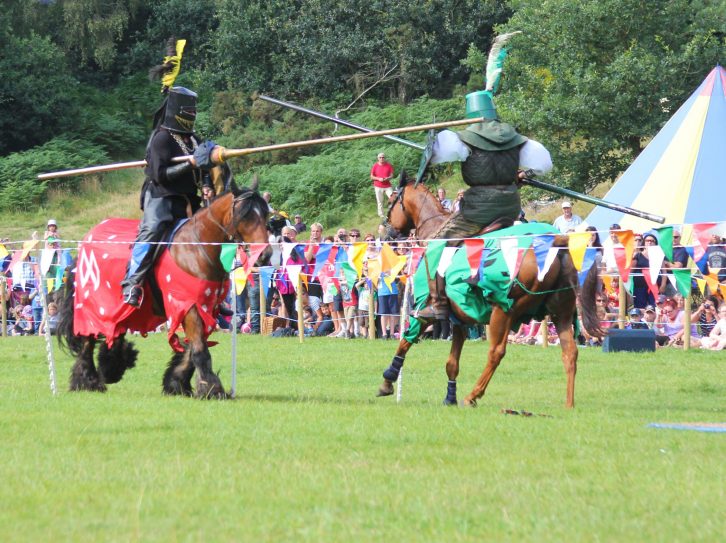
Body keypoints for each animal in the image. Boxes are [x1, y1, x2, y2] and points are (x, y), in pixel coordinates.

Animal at [57, 183, 272, 400]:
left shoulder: (205, 307)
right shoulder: (188, 306)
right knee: (88, 339)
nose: (265, 254)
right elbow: (199, 349)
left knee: (114, 333)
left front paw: (176, 383)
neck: (197, 247)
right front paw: (211, 388)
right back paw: (87, 380)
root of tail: (85, 240)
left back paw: (110, 368)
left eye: (265, 214)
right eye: (244, 216)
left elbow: (191, 348)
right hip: (93, 306)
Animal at [378, 176, 604, 410]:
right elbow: (452, 363)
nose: (385, 233)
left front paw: (388, 380)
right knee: (570, 352)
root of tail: (557, 241)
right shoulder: (460, 319)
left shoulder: (424, 312)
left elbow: (405, 341)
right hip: (562, 313)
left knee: (496, 351)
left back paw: (473, 395)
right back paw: (568, 404)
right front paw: (450, 397)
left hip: (503, 312)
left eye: (391, 201)